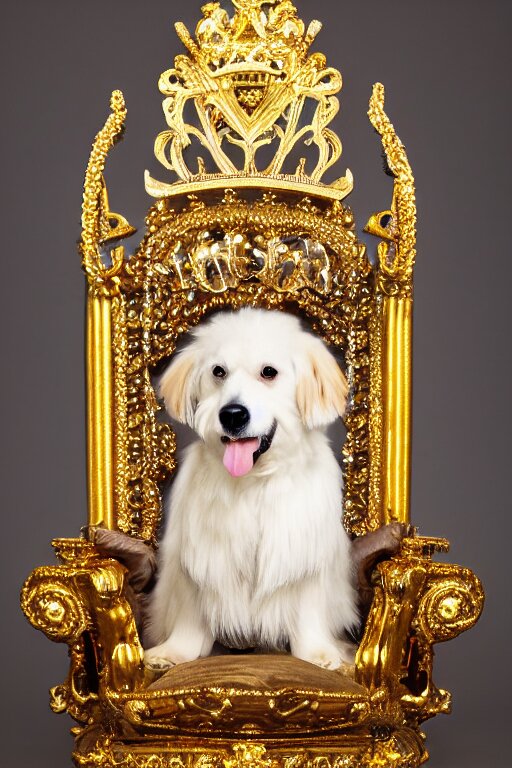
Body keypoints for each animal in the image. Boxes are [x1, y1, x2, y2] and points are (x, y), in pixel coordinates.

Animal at [144, 308, 358, 668]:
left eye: (268, 372)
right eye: (218, 372)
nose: (232, 414)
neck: (253, 482)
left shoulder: (305, 558)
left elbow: (308, 612)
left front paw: (318, 653)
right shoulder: (199, 560)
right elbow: (190, 615)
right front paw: (175, 652)